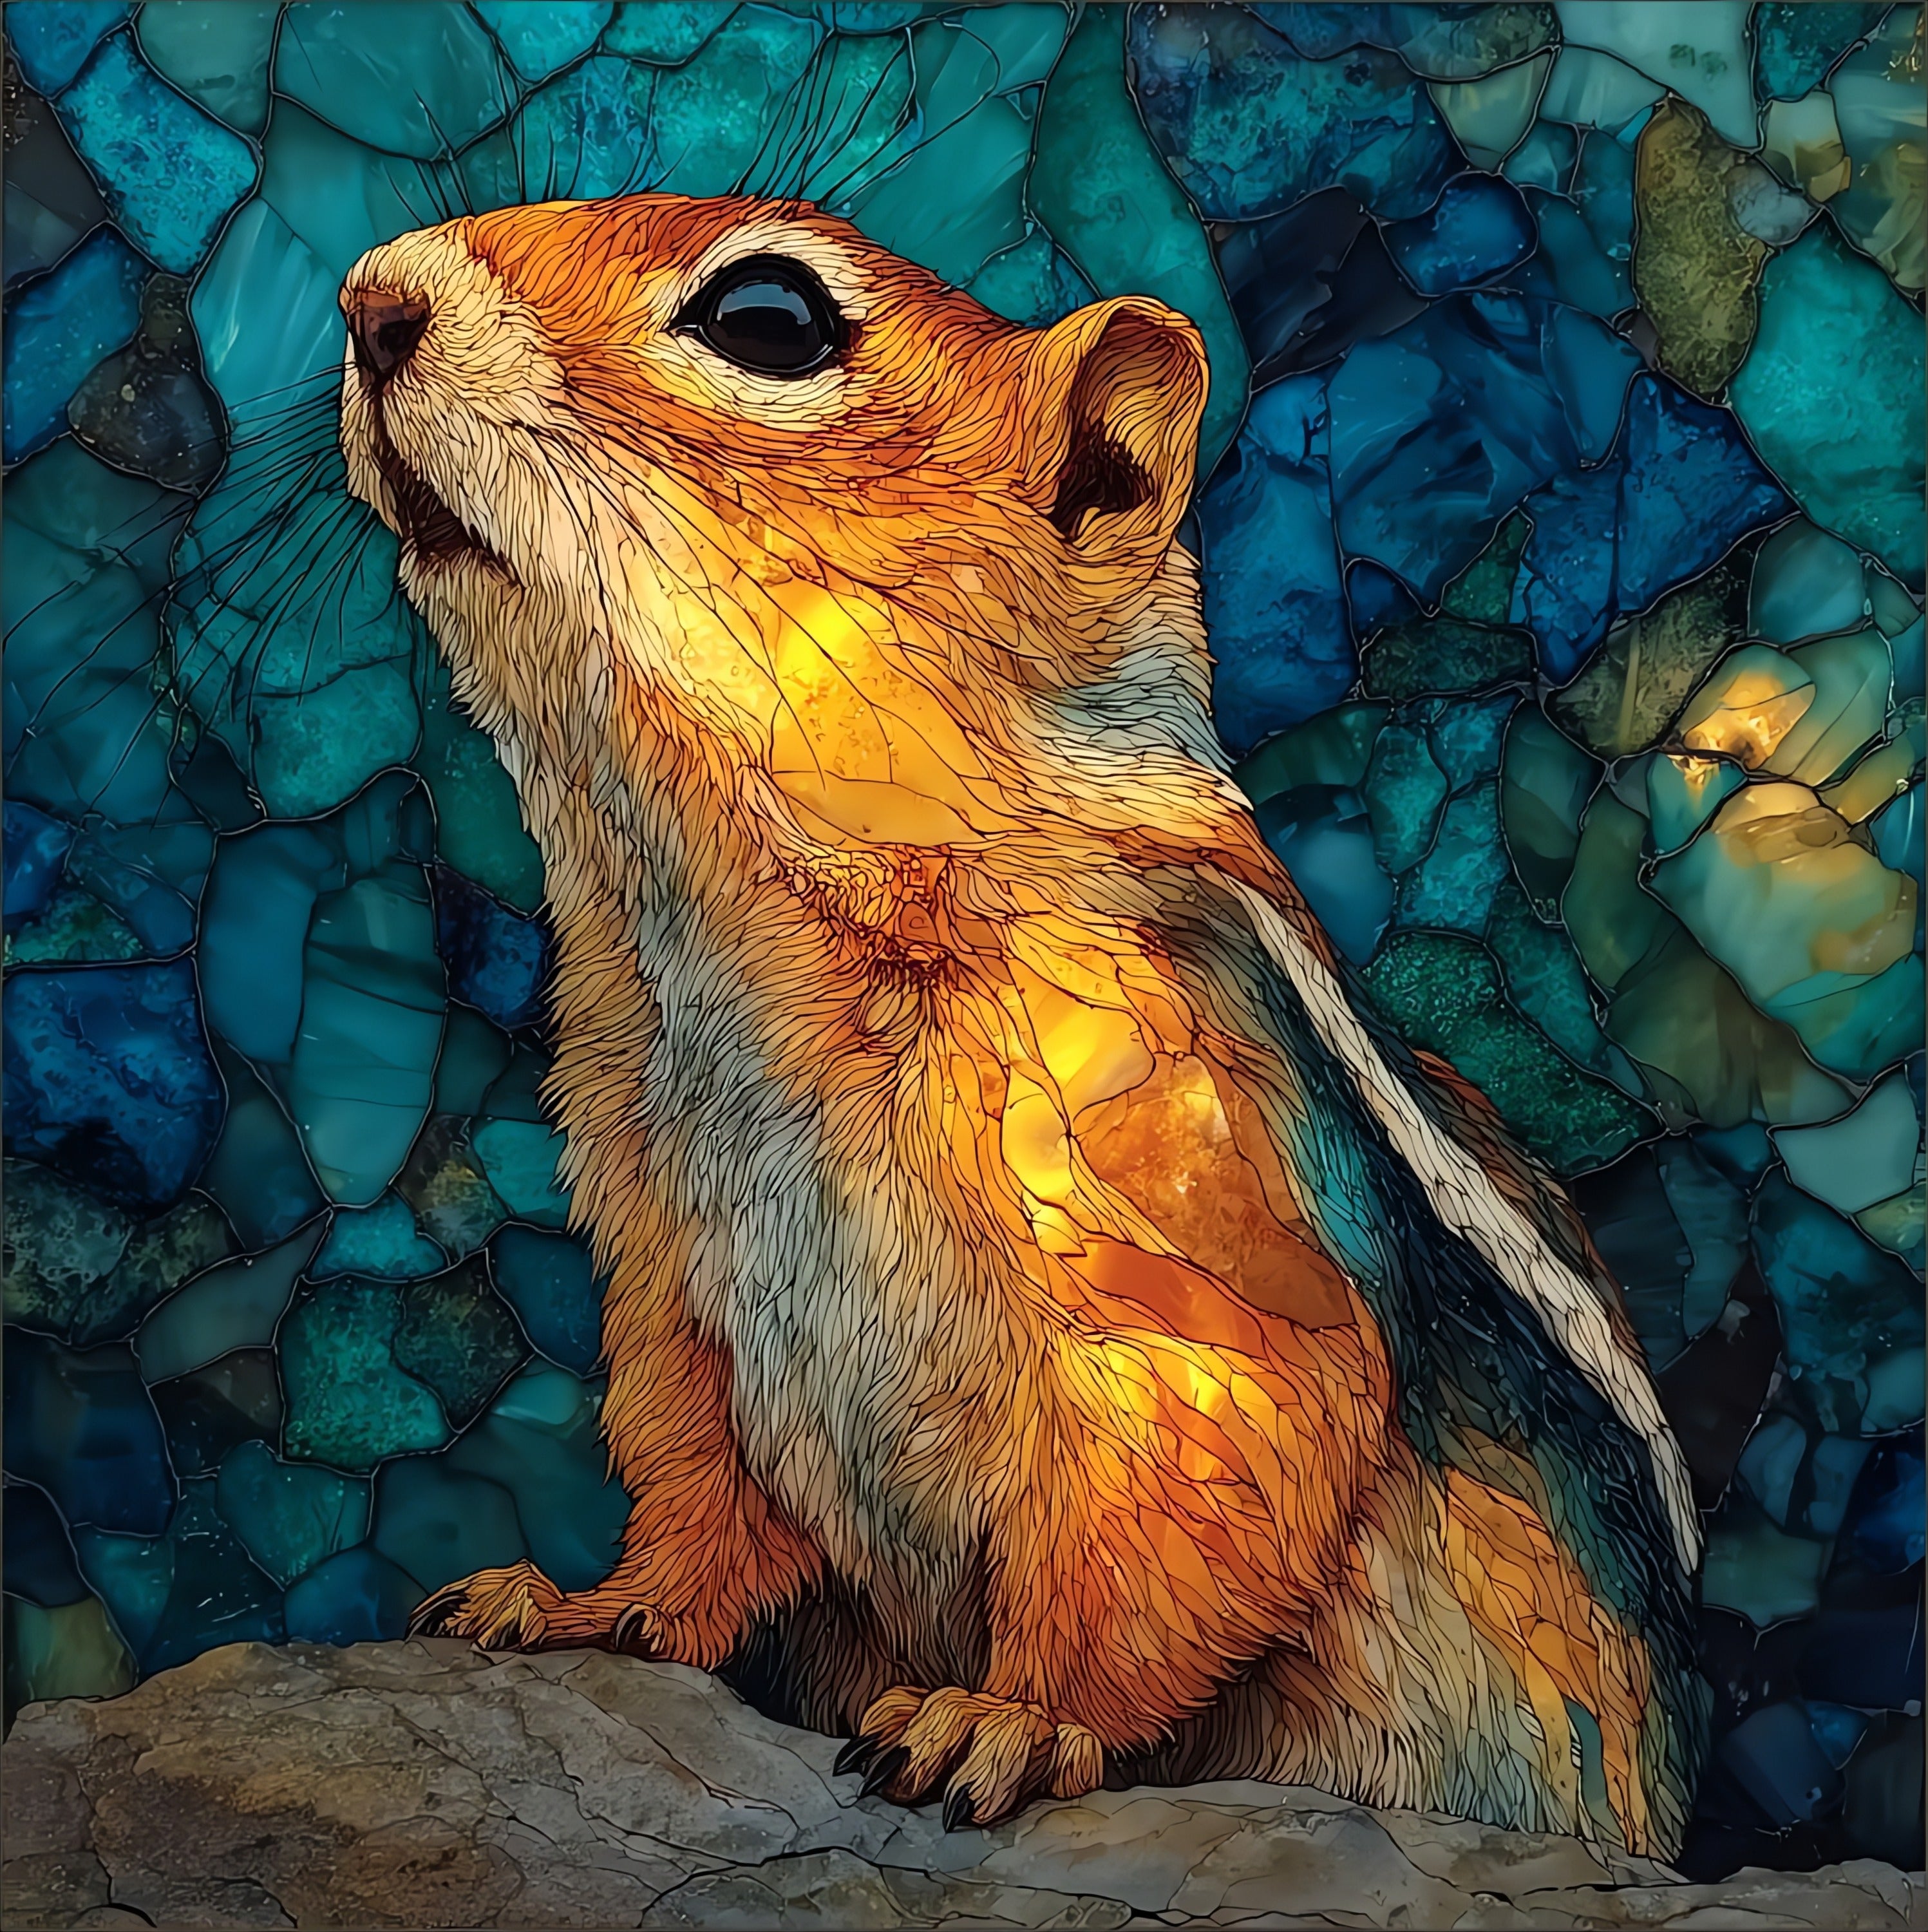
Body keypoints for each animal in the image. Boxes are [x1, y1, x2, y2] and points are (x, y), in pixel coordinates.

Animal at [337, 193, 1706, 1854]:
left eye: (767, 318)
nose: (372, 298)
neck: (724, 920)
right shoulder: (666, 1248)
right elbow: (696, 1488)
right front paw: (587, 1605)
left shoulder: (1180, 1203)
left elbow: (1191, 1476)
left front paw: (1006, 1718)